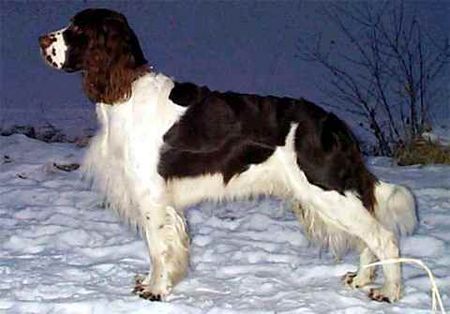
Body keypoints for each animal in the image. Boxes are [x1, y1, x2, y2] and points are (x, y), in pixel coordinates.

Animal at [40, 8, 416, 302]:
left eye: (77, 29)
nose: (42, 40)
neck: (126, 92)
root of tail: (334, 123)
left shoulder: (152, 197)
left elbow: (158, 248)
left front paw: (156, 290)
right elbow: (156, 249)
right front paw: (149, 283)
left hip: (325, 189)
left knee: (384, 237)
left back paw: (389, 292)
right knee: (368, 238)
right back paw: (362, 279)